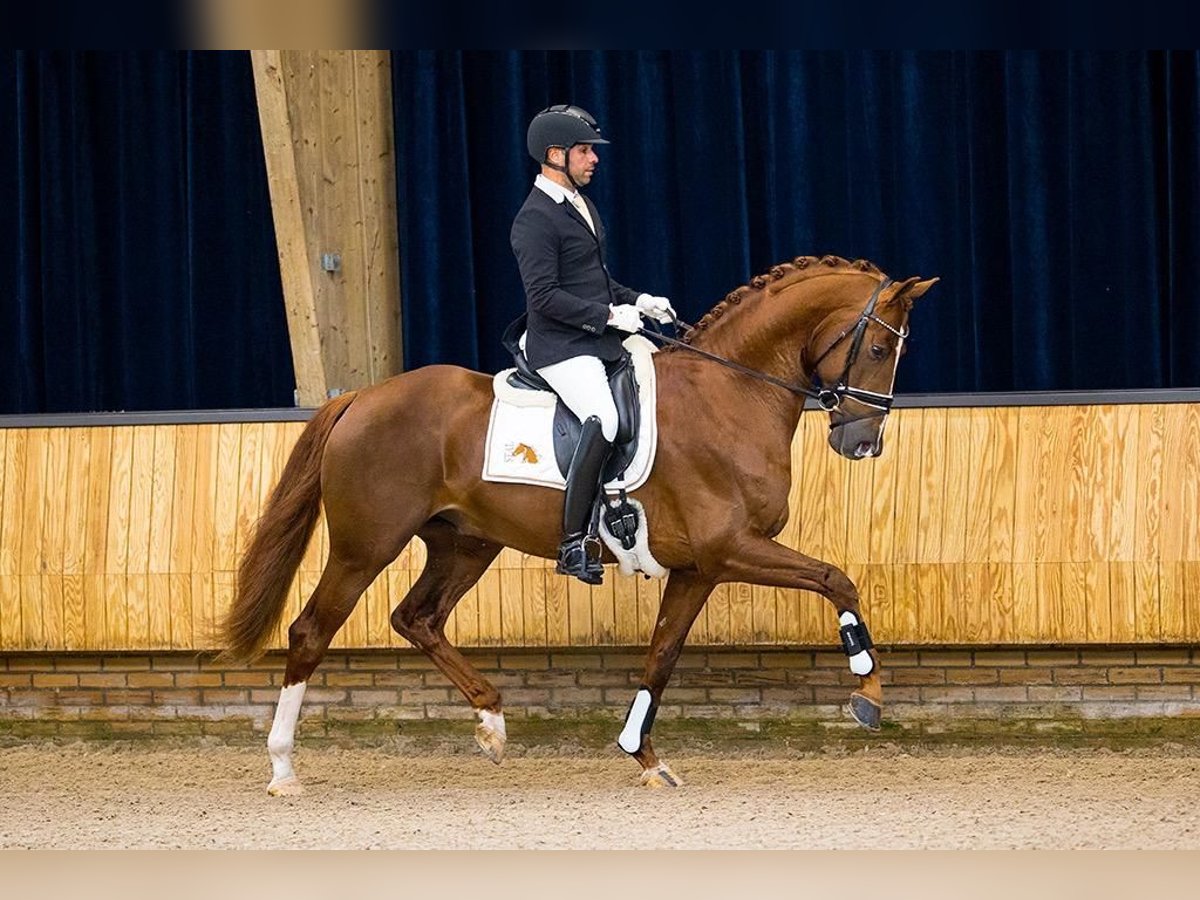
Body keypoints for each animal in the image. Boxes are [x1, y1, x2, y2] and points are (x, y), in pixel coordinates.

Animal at [223, 254, 936, 796]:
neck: (728, 396)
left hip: (466, 543)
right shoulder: (733, 548)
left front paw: (644, 756)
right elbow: (837, 578)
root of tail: (359, 398)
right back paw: (283, 769)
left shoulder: (699, 568)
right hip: (364, 547)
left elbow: (661, 656)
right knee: (311, 632)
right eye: (877, 347)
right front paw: (868, 692)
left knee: (417, 618)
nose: (862, 444)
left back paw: (492, 723)